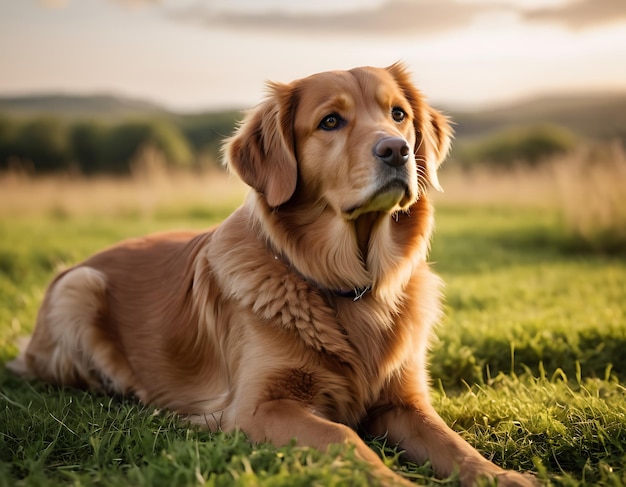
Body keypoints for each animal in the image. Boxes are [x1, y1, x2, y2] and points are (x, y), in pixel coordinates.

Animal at [8, 65, 532, 487]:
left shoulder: (404, 402)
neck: (350, 284)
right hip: (78, 288)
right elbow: (343, 436)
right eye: (330, 121)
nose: (397, 150)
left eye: (398, 114)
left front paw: (507, 476)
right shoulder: (258, 407)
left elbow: (455, 444)